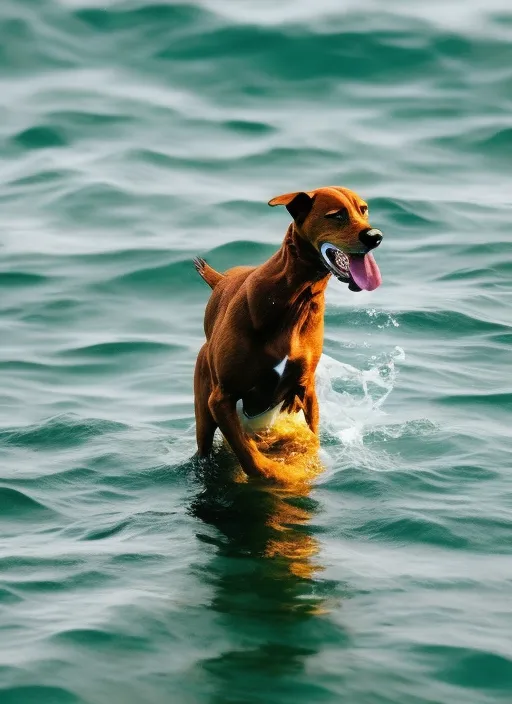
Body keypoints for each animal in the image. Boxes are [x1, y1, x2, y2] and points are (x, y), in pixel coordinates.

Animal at [194, 186, 382, 484]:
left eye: (363, 210)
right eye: (337, 215)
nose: (375, 236)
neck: (295, 298)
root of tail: (222, 281)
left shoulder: (306, 390)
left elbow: (310, 434)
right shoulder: (221, 398)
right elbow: (249, 455)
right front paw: (276, 475)